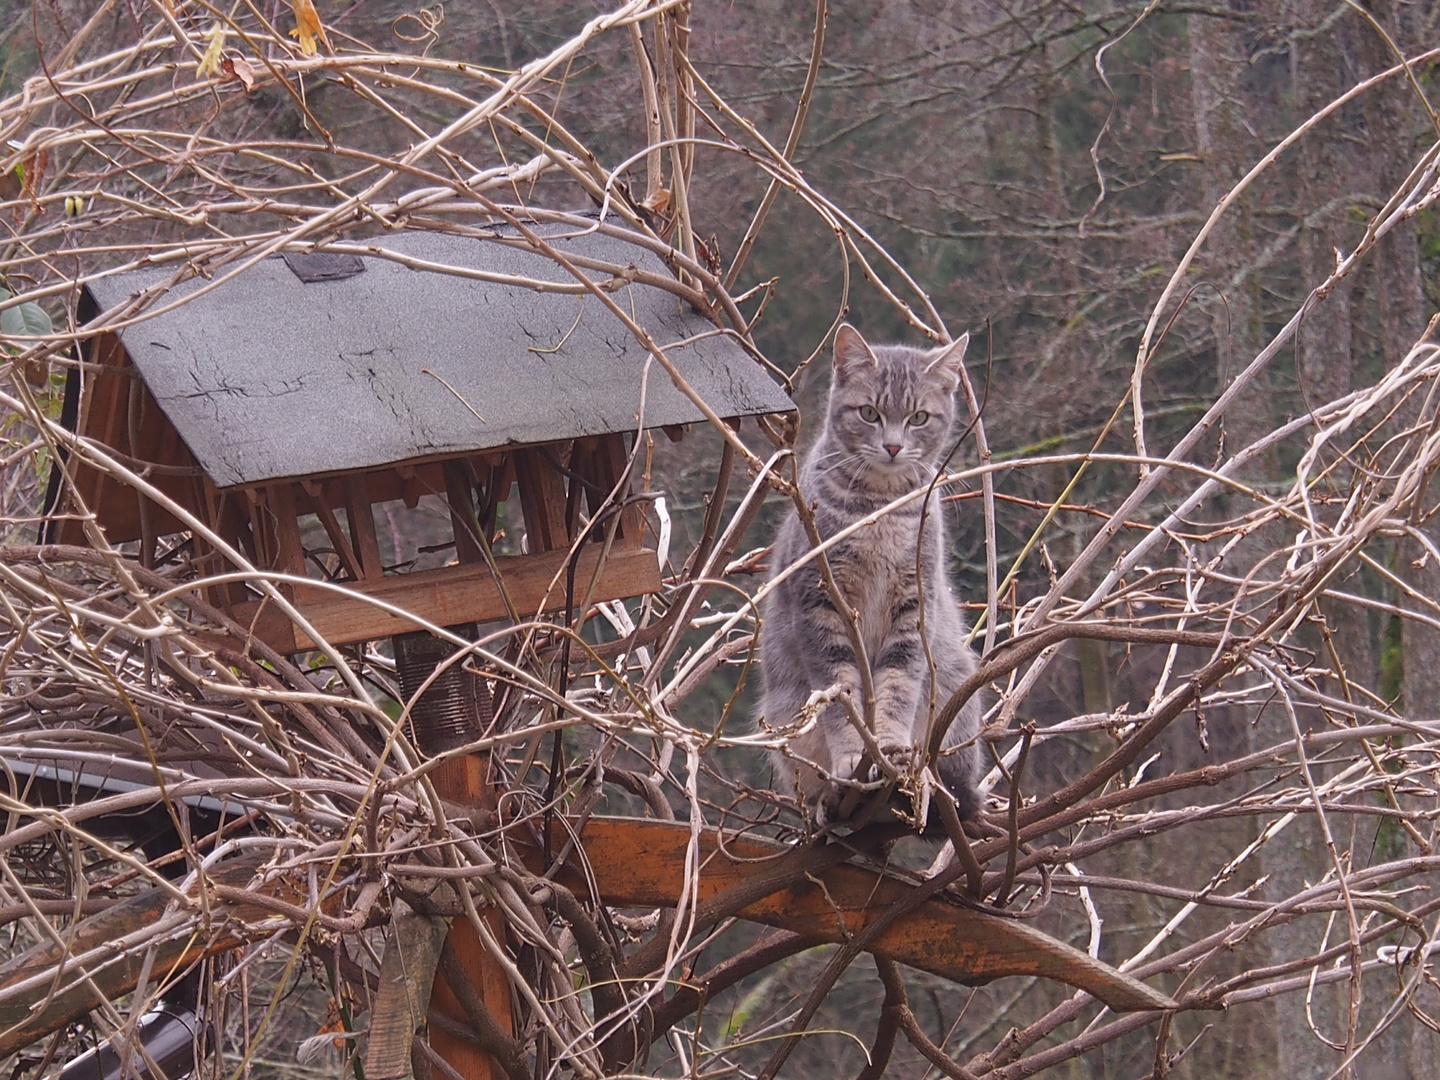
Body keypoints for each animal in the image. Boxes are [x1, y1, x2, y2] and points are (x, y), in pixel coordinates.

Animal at [760, 325, 984, 823]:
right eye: (869, 413)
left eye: (919, 417)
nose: (894, 446)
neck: (880, 507)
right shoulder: (822, 603)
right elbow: (842, 691)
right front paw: (851, 756)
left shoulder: (914, 604)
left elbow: (899, 685)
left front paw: (889, 744)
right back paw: (827, 799)